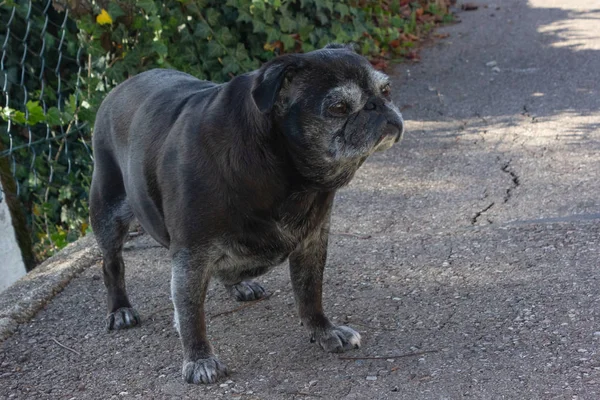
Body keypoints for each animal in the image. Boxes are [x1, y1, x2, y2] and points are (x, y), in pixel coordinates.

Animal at [89, 43, 404, 384]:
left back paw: (239, 284)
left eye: (386, 89)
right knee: (112, 264)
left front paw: (324, 331)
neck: (285, 172)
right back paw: (120, 309)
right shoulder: (192, 254)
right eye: (338, 107)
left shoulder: (311, 242)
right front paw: (199, 358)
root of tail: (119, 88)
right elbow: (190, 311)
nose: (378, 105)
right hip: (109, 212)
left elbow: (310, 292)